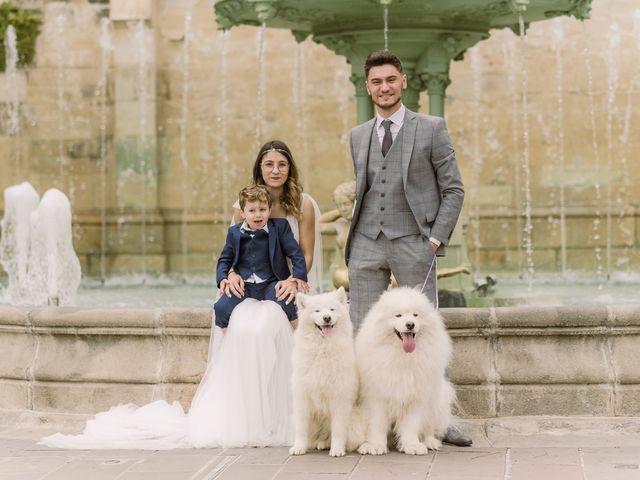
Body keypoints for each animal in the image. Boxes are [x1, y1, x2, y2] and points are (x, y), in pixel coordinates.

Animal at [290, 286, 360, 456]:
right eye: (317, 311)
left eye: (332, 309)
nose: (327, 318)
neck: (323, 348)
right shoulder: (302, 399)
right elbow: (301, 429)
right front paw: (298, 447)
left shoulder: (339, 399)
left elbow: (338, 430)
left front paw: (337, 449)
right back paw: (320, 443)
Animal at [356, 286, 456, 456]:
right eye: (398, 315)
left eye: (416, 315)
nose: (410, 324)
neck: (403, 356)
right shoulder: (377, 397)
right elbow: (377, 424)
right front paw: (375, 445)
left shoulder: (415, 397)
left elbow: (411, 425)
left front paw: (412, 446)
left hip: (436, 401)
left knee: (429, 428)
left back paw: (430, 442)